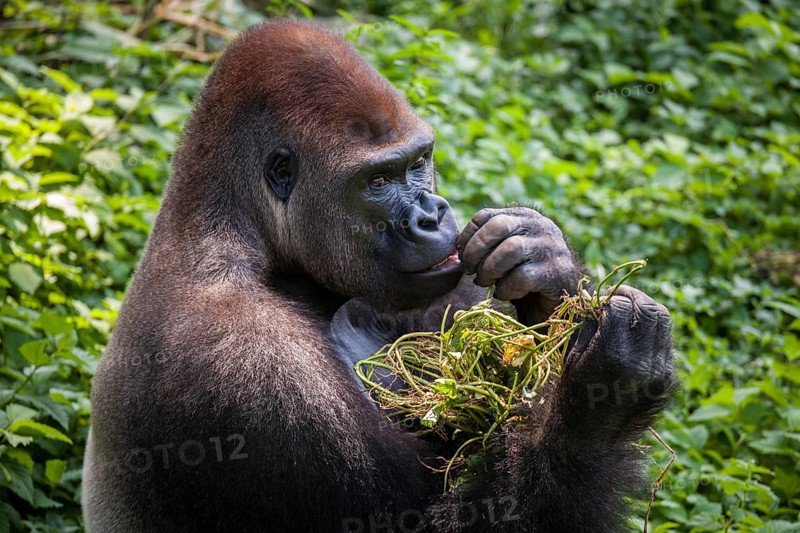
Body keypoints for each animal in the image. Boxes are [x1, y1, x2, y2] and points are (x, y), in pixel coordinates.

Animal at [82, 19, 676, 533]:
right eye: (377, 181)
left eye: (418, 163)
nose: (432, 215)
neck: (238, 232)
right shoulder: (245, 359)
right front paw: (606, 393)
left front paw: (542, 261)